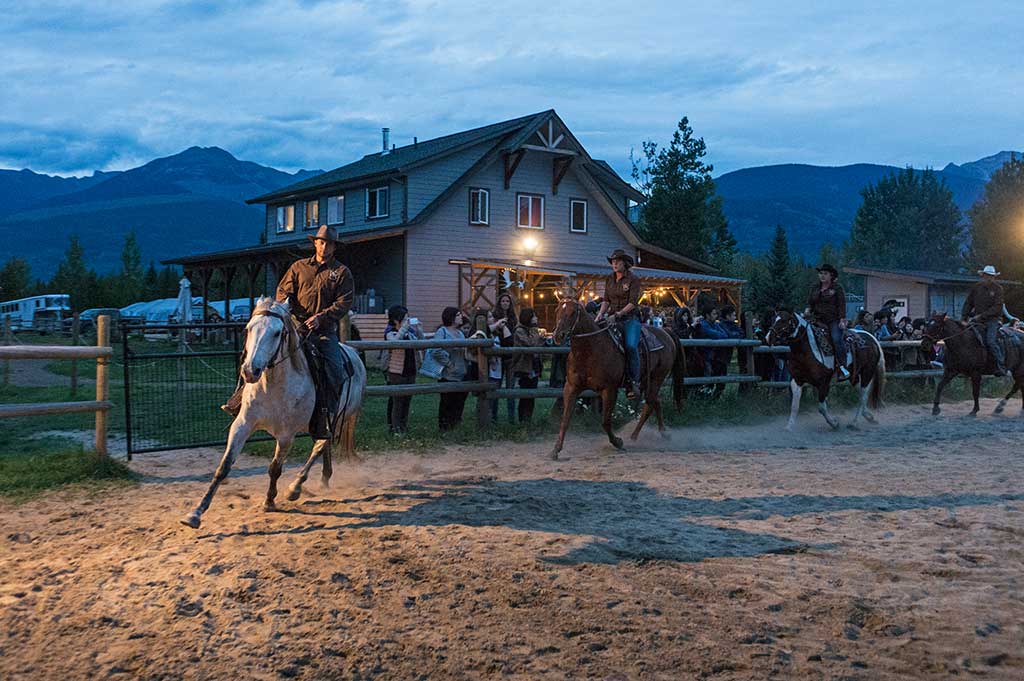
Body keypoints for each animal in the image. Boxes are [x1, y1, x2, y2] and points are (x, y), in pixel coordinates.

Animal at [182, 294, 366, 528]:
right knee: (324, 445)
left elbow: (275, 468)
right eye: (249, 328)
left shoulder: (286, 435)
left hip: (336, 417)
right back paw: (325, 477)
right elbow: (223, 467)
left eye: (278, 332)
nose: (250, 371)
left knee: (319, 446)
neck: (272, 386)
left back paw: (295, 487)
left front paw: (269, 501)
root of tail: (354, 355)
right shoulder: (242, 425)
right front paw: (196, 513)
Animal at [548, 301, 684, 458]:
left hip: (657, 378)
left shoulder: (609, 390)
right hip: (647, 381)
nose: (558, 335)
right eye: (557, 310)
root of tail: (666, 332)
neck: (590, 350)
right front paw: (556, 449)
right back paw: (645, 435)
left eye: (572, 313)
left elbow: (605, 422)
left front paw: (618, 442)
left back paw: (646, 435)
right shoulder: (571, 388)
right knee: (654, 402)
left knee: (651, 404)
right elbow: (565, 419)